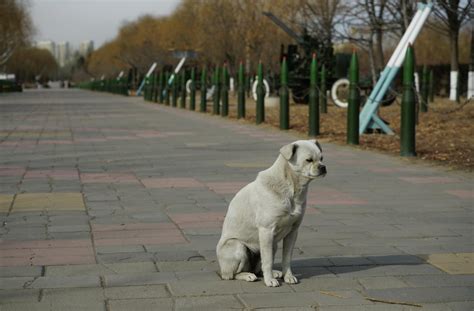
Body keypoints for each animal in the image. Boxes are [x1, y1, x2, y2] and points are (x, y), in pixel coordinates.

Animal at [218, 140, 326, 286]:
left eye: (322, 158)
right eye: (309, 160)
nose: (323, 167)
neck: (291, 187)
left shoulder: (293, 232)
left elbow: (287, 258)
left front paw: (288, 276)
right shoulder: (266, 230)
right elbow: (268, 260)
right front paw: (270, 281)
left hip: (273, 245)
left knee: (258, 268)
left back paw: (274, 273)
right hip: (238, 247)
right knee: (232, 275)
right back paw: (248, 275)